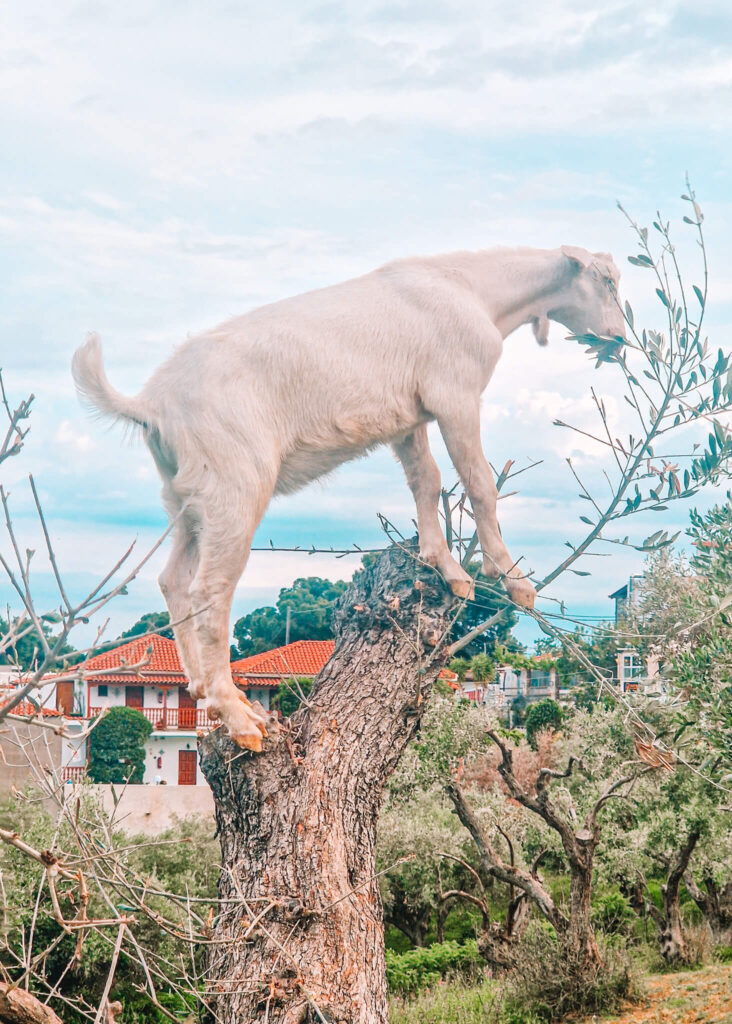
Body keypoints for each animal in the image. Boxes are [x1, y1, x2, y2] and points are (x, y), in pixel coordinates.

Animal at [73, 243, 622, 749]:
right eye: (609, 281)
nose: (617, 338)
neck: (474, 290)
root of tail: (150, 404)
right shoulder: (455, 394)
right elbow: (479, 481)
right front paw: (512, 580)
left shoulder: (410, 415)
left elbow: (426, 480)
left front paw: (445, 566)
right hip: (235, 486)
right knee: (208, 592)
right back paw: (241, 719)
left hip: (186, 498)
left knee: (172, 580)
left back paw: (203, 692)